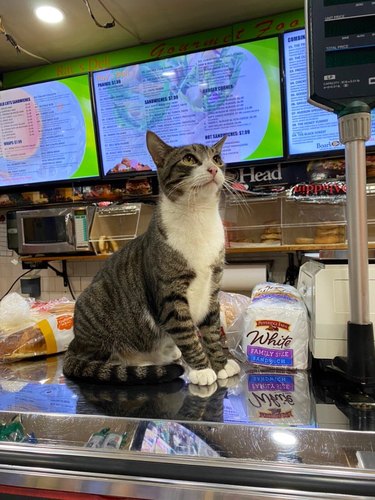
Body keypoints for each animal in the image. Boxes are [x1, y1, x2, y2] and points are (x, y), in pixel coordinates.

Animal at [63, 130, 241, 386]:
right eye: (189, 159)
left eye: (217, 158)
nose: (213, 169)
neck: (198, 216)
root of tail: (75, 343)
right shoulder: (171, 293)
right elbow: (187, 332)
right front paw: (202, 368)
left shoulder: (213, 287)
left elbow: (212, 331)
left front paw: (221, 364)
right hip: (95, 305)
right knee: (101, 360)